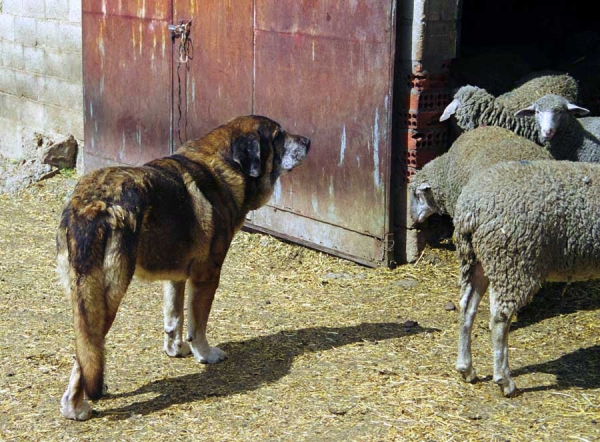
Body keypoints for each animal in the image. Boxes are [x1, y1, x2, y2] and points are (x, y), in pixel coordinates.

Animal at [56, 115, 312, 420]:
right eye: (278, 136)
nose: (309, 141)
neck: (224, 167)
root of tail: (93, 204)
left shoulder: (176, 275)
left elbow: (174, 317)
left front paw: (175, 349)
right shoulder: (207, 276)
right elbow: (197, 324)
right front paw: (205, 354)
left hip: (82, 296)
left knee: (85, 350)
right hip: (106, 297)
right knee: (83, 357)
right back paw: (76, 407)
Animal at [454, 159, 600, 398]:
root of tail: (471, 208)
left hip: (477, 259)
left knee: (467, 307)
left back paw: (466, 368)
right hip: (513, 260)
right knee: (499, 319)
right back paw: (504, 381)